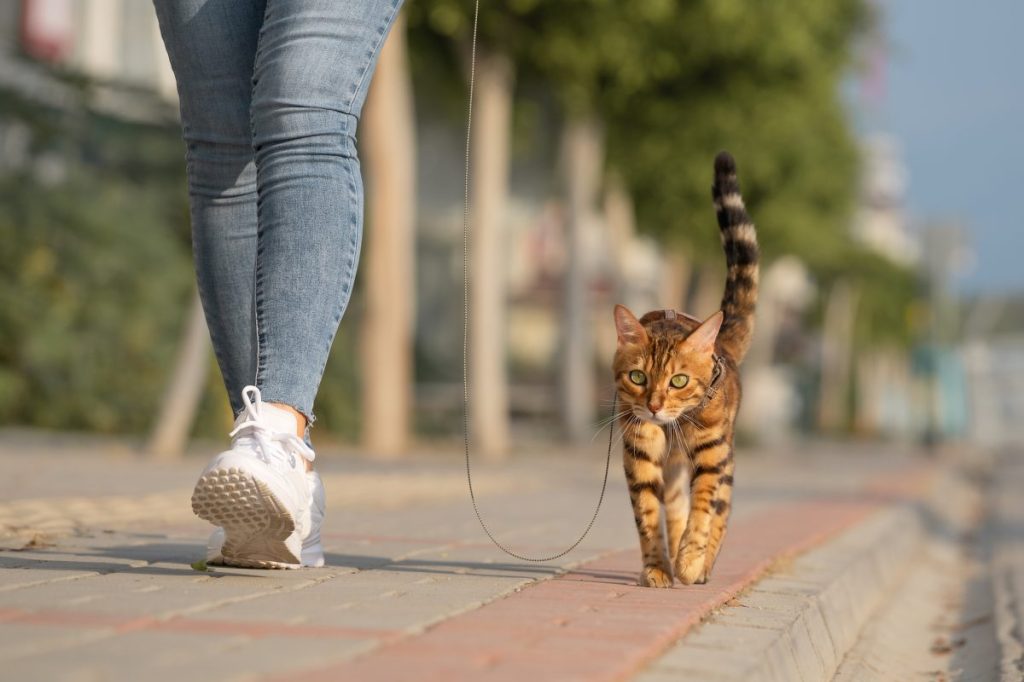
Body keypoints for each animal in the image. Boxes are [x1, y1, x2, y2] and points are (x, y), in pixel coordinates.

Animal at [610, 150, 757, 585]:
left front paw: (692, 559)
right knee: (674, 504)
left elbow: (704, 507)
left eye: (678, 380)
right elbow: (647, 515)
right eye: (638, 377)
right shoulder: (639, 452)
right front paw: (657, 567)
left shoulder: (712, 453)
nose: (655, 406)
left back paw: (701, 565)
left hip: (725, 454)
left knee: (722, 507)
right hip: (672, 468)